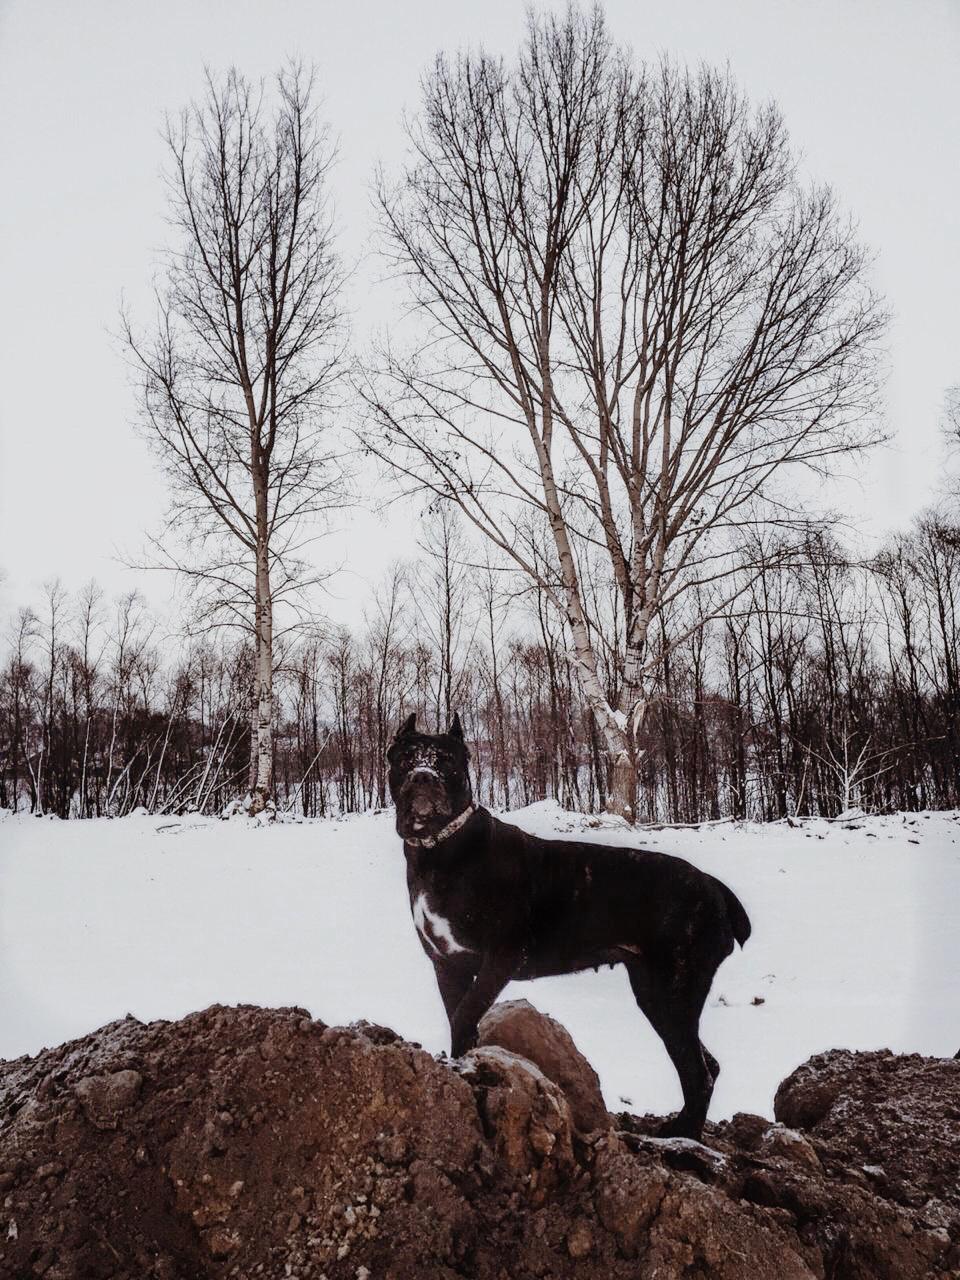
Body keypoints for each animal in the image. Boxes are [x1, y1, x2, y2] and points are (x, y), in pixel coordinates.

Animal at [389, 711, 752, 1141]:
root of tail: (714, 887)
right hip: (655, 991)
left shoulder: (500, 958)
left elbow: (465, 1013)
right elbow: (459, 1018)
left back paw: (683, 1135)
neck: (439, 851)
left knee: (698, 1073)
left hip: (674, 992)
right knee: (705, 1065)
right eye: (405, 757)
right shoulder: (448, 964)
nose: (423, 776)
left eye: (446, 760)